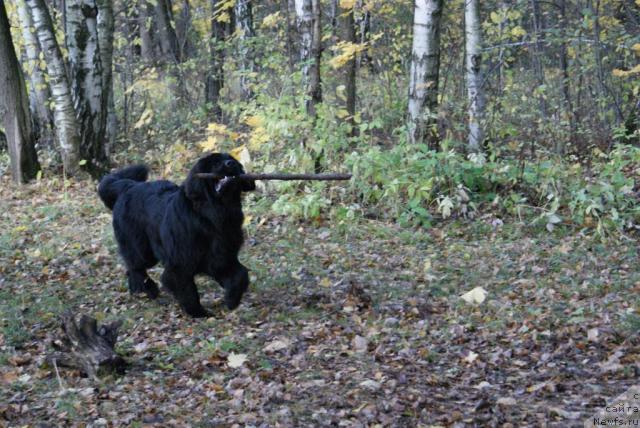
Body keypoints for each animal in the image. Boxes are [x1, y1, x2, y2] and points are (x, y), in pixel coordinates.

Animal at [97, 152, 255, 316]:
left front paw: (232, 300)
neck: (212, 215)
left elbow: (241, 275)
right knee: (135, 266)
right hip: (142, 250)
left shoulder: (222, 257)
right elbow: (187, 291)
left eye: (231, 159)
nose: (232, 163)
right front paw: (199, 313)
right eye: (216, 164)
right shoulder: (179, 264)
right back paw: (148, 289)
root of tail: (129, 185)